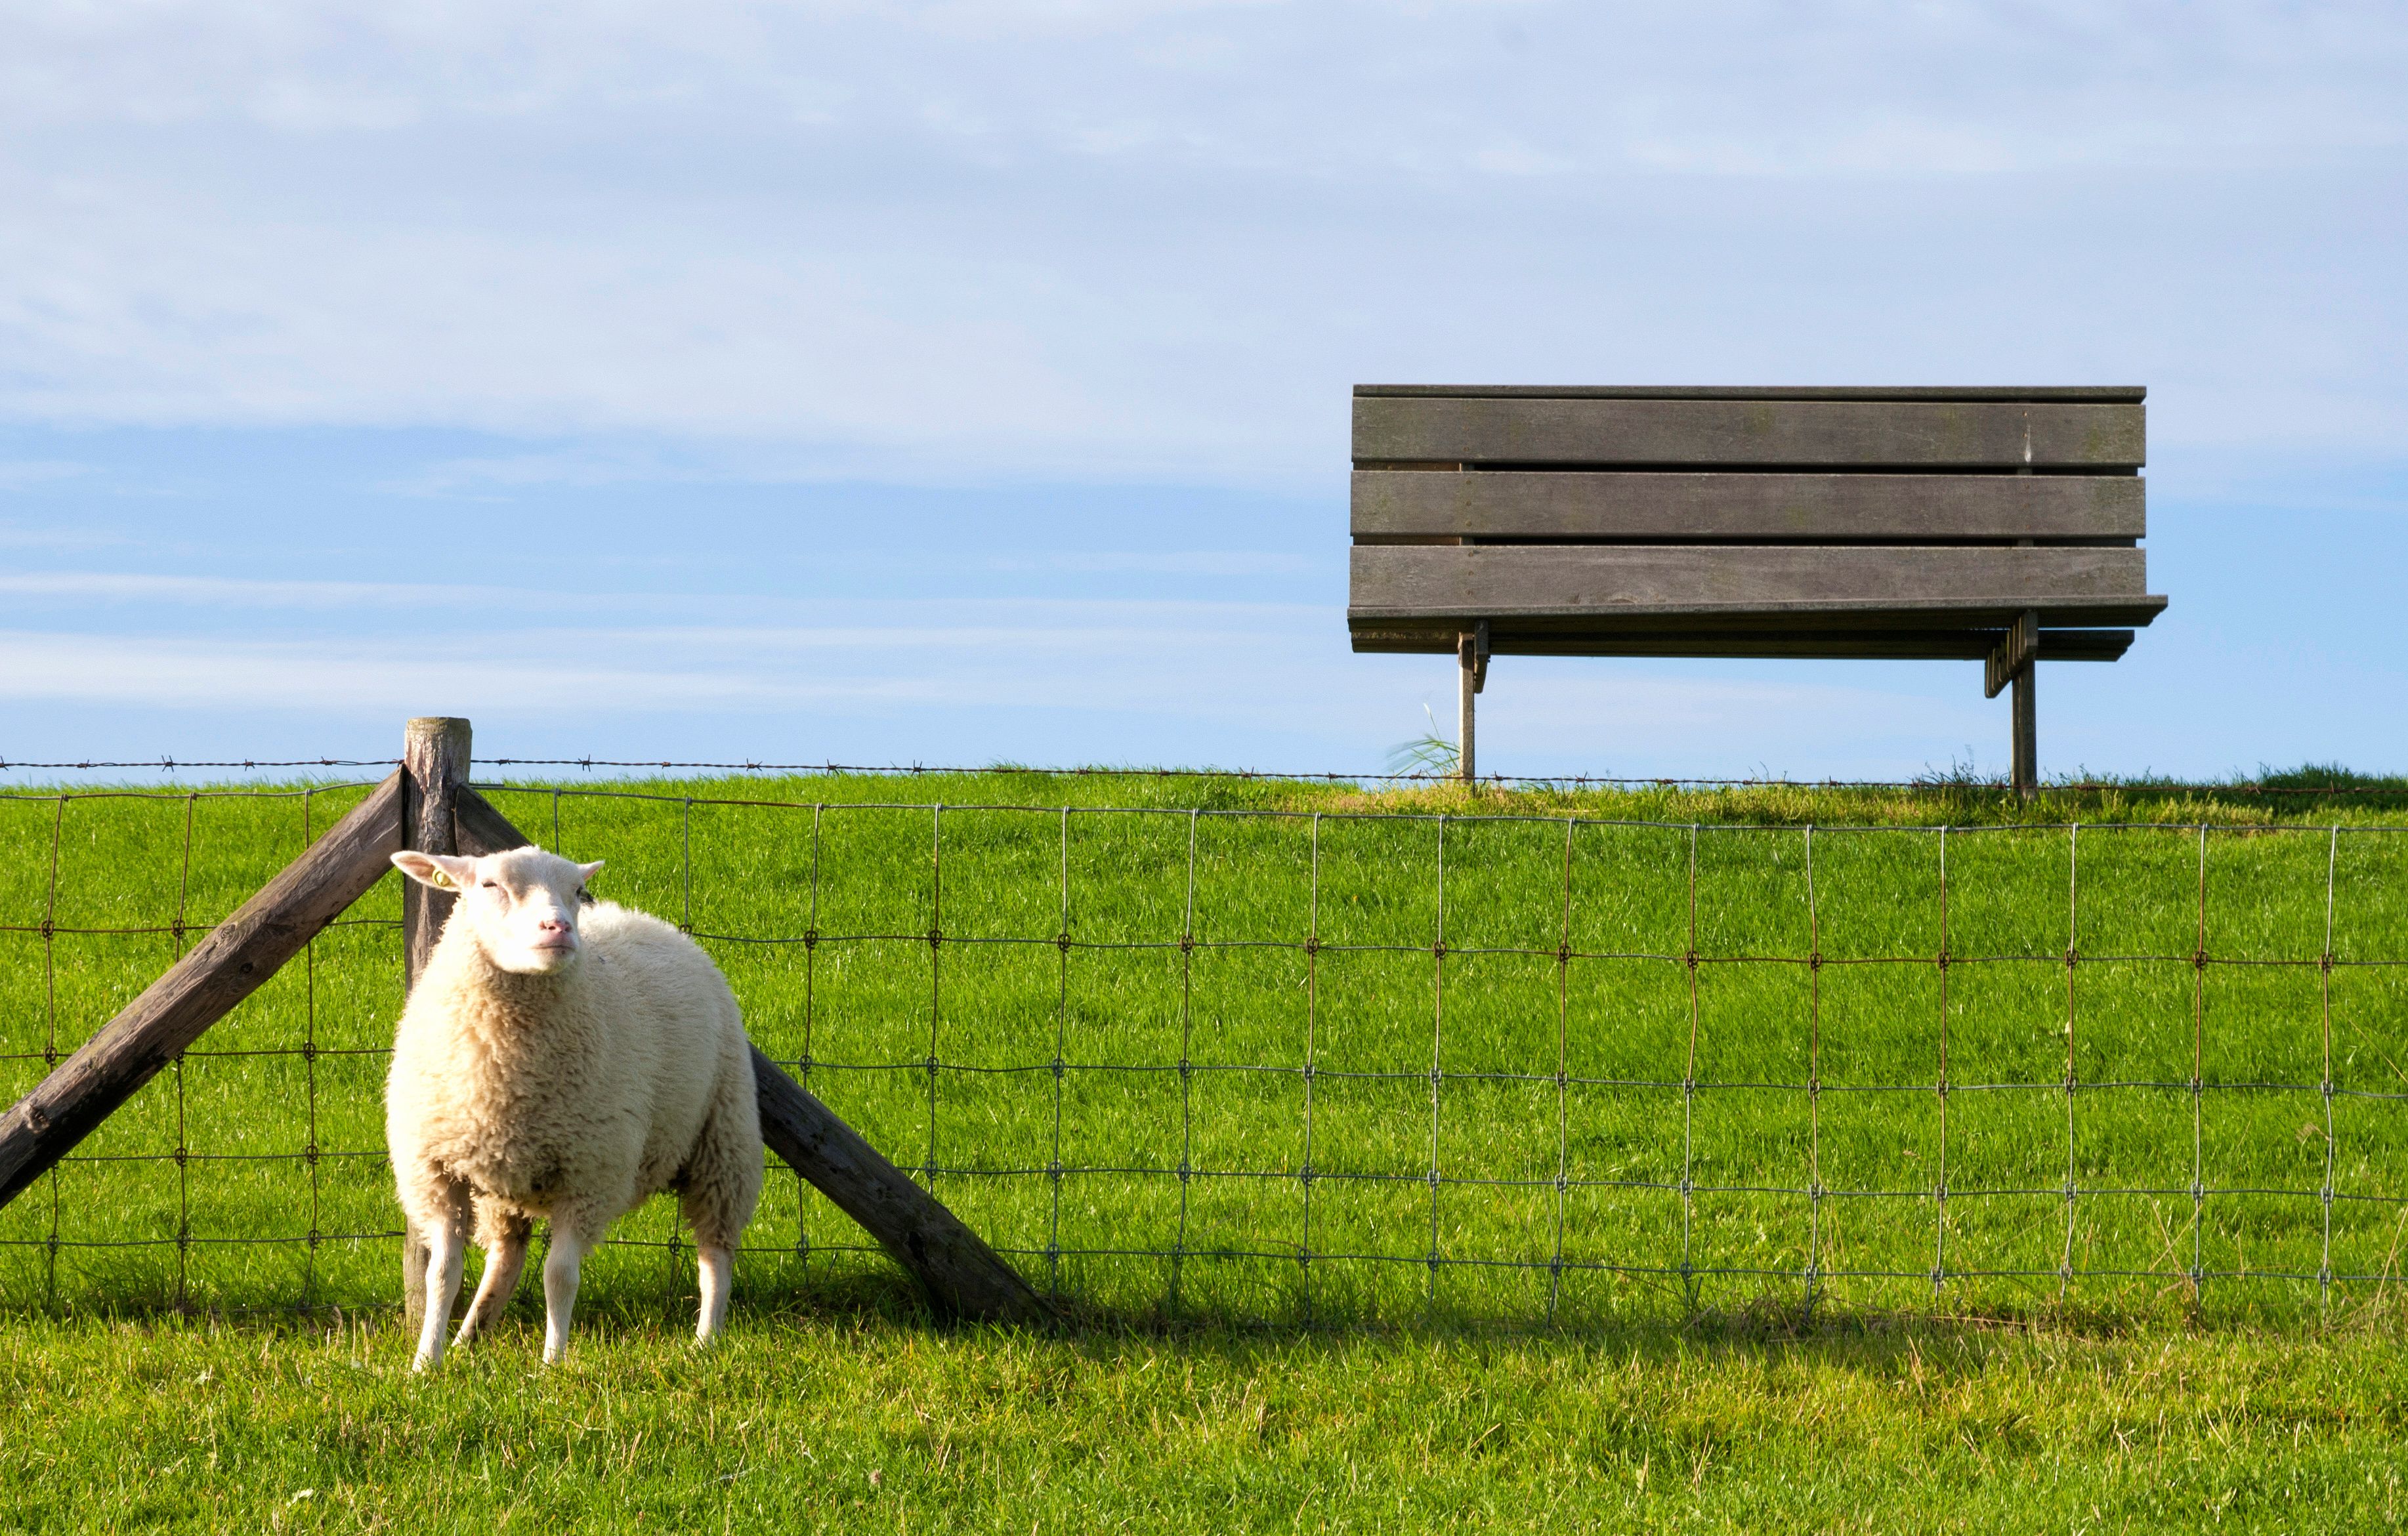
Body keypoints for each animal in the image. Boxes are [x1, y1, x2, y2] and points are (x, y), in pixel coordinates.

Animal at [386, 845, 762, 1369]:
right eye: (489, 885)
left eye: (577, 891)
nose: (559, 927)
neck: (506, 1068)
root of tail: (641, 916)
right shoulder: (436, 1173)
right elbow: (442, 1273)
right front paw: (426, 1362)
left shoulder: (588, 1175)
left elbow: (559, 1276)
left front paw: (552, 1363)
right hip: (504, 1186)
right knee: (506, 1256)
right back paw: (469, 1336)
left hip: (725, 1134)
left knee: (715, 1251)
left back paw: (705, 1339)